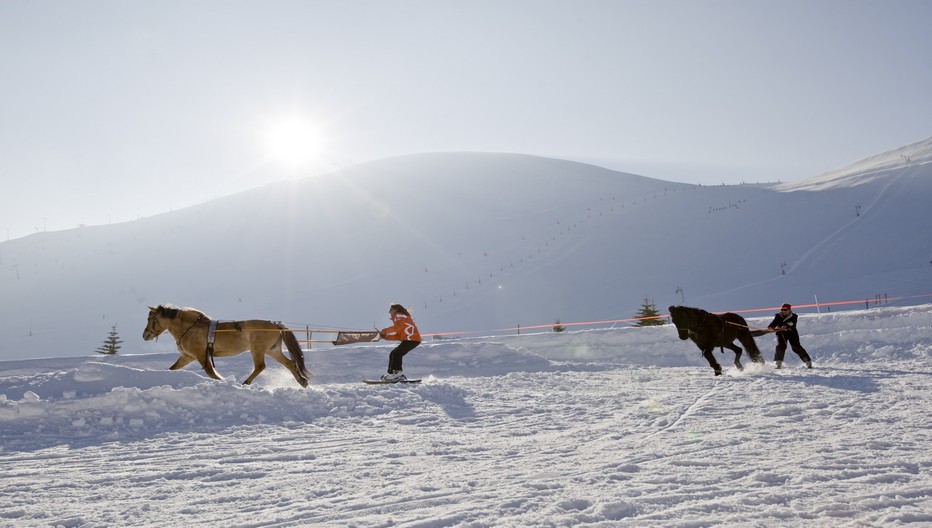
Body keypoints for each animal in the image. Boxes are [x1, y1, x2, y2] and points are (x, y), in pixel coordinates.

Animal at [140, 306, 312, 388]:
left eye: (151, 318)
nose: (145, 335)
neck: (190, 328)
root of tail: (276, 325)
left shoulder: (201, 356)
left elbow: (211, 373)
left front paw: (223, 381)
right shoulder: (187, 356)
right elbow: (173, 368)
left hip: (258, 350)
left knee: (260, 366)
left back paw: (245, 383)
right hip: (272, 350)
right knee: (290, 363)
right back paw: (302, 381)